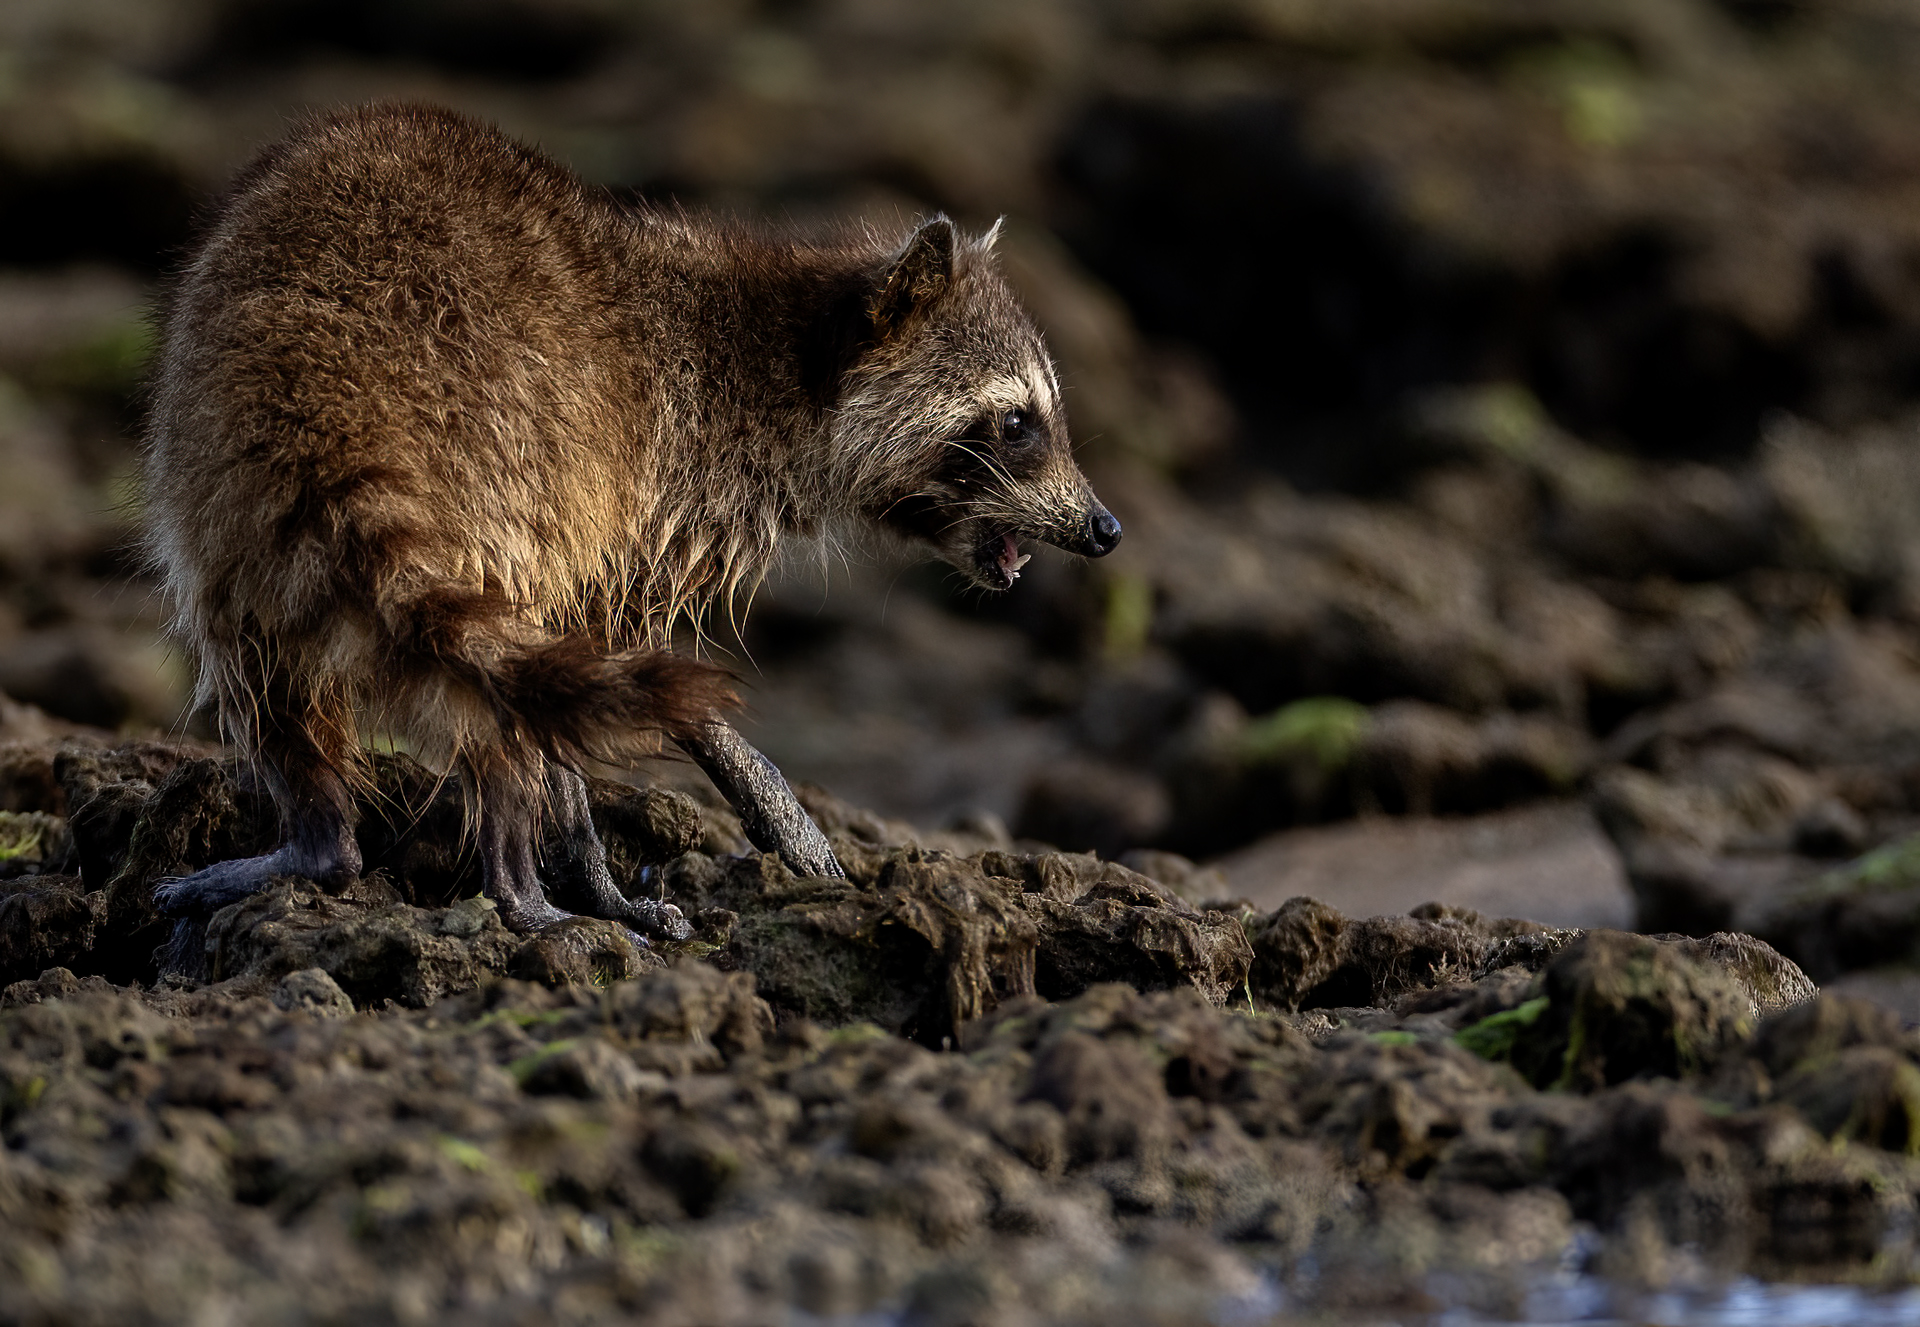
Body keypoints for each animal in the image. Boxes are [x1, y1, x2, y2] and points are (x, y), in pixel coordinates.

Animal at [149, 103, 1121, 944]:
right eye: (1018, 422)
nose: (1107, 527)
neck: (796, 360)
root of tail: (336, 404)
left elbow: (582, 673)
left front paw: (606, 852)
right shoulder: (659, 486)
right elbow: (613, 658)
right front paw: (703, 791)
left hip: (229, 494)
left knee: (272, 668)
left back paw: (327, 844)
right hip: (508, 459)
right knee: (496, 710)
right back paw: (517, 883)